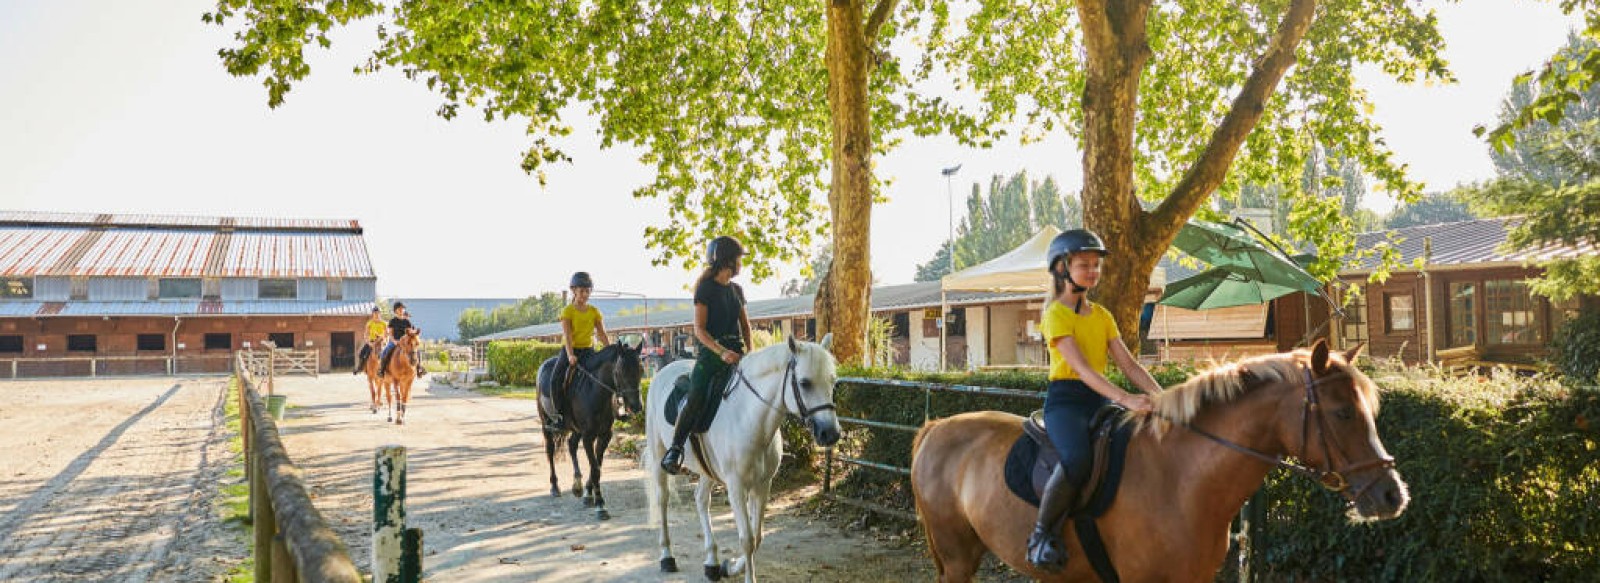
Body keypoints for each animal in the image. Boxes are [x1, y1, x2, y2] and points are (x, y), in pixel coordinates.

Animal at [646, 334, 844, 579]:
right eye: (805, 383)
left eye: (833, 382)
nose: (831, 433)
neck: (748, 417)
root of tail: (663, 371)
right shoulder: (736, 486)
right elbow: (747, 539)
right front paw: (746, 574)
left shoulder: (762, 484)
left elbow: (757, 536)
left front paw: (731, 566)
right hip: (658, 456)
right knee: (662, 499)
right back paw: (667, 557)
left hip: (708, 470)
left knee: (701, 499)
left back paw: (712, 562)